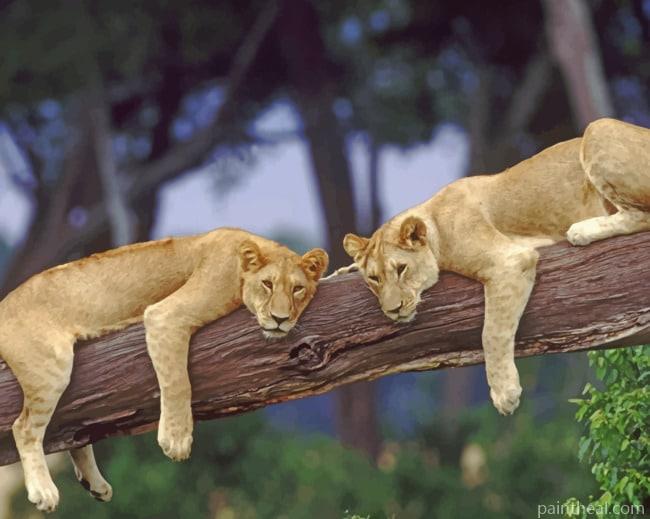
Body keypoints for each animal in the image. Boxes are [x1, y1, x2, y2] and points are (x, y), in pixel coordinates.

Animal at [0, 227, 328, 512]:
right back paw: (44, 491)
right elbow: (178, 381)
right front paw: (176, 440)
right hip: (52, 366)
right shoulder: (166, 315)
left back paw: (95, 484)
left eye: (298, 289)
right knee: (24, 427)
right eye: (268, 284)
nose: (280, 319)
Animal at [343, 118, 650, 417]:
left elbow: (491, 331)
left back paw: (581, 230)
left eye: (401, 269)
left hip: (597, 128)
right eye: (374, 279)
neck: (434, 222)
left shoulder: (509, 261)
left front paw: (505, 393)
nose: (393, 310)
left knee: (642, 216)